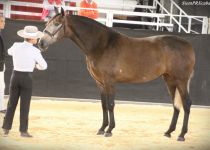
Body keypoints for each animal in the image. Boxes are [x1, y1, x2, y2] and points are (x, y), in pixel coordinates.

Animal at [38, 6, 195, 141]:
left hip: (181, 80)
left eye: (57, 24)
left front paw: (109, 130)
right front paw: (102, 128)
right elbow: (104, 105)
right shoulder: (100, 83)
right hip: (170, 80)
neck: (102, 45)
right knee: (176, 105)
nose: (41, 43)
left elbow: (111, 104)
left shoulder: (109, 81)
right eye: (47, 23)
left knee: (186, 104)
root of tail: (188, 45)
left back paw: (181, 135)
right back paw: (169, 132)